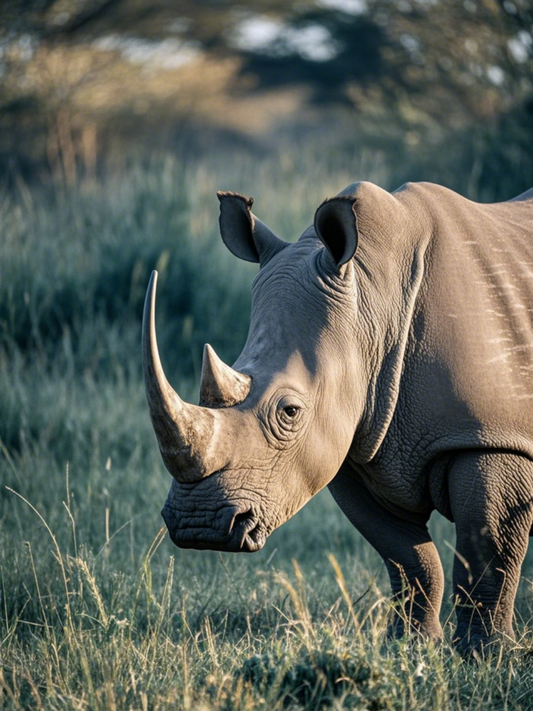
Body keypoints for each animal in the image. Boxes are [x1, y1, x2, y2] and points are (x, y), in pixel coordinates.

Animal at [142, 181, 533, 653]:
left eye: (290, 411)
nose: (199, 526)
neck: (375, 299)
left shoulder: (490, 436)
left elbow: (486, 553)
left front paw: (486, 655)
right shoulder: (353, 445)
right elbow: (407, 557)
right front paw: (409, 647)